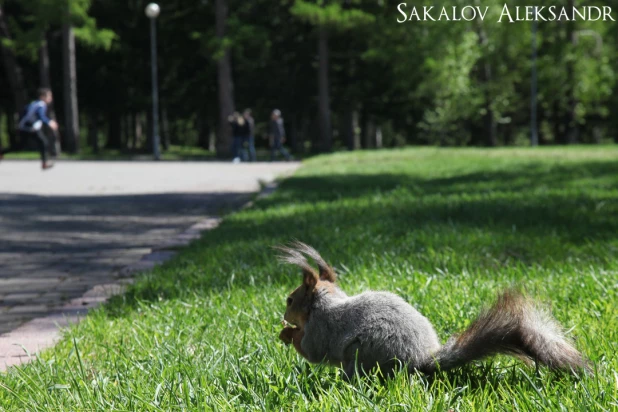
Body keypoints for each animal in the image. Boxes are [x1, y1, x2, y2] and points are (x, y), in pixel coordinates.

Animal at [276, 241, 588, 380]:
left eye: (290, 300)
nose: (284, 316)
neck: (326, 302)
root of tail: (421, 361)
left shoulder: (321, 328)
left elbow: (311, 351)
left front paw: (287, 333)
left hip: (361, 355)